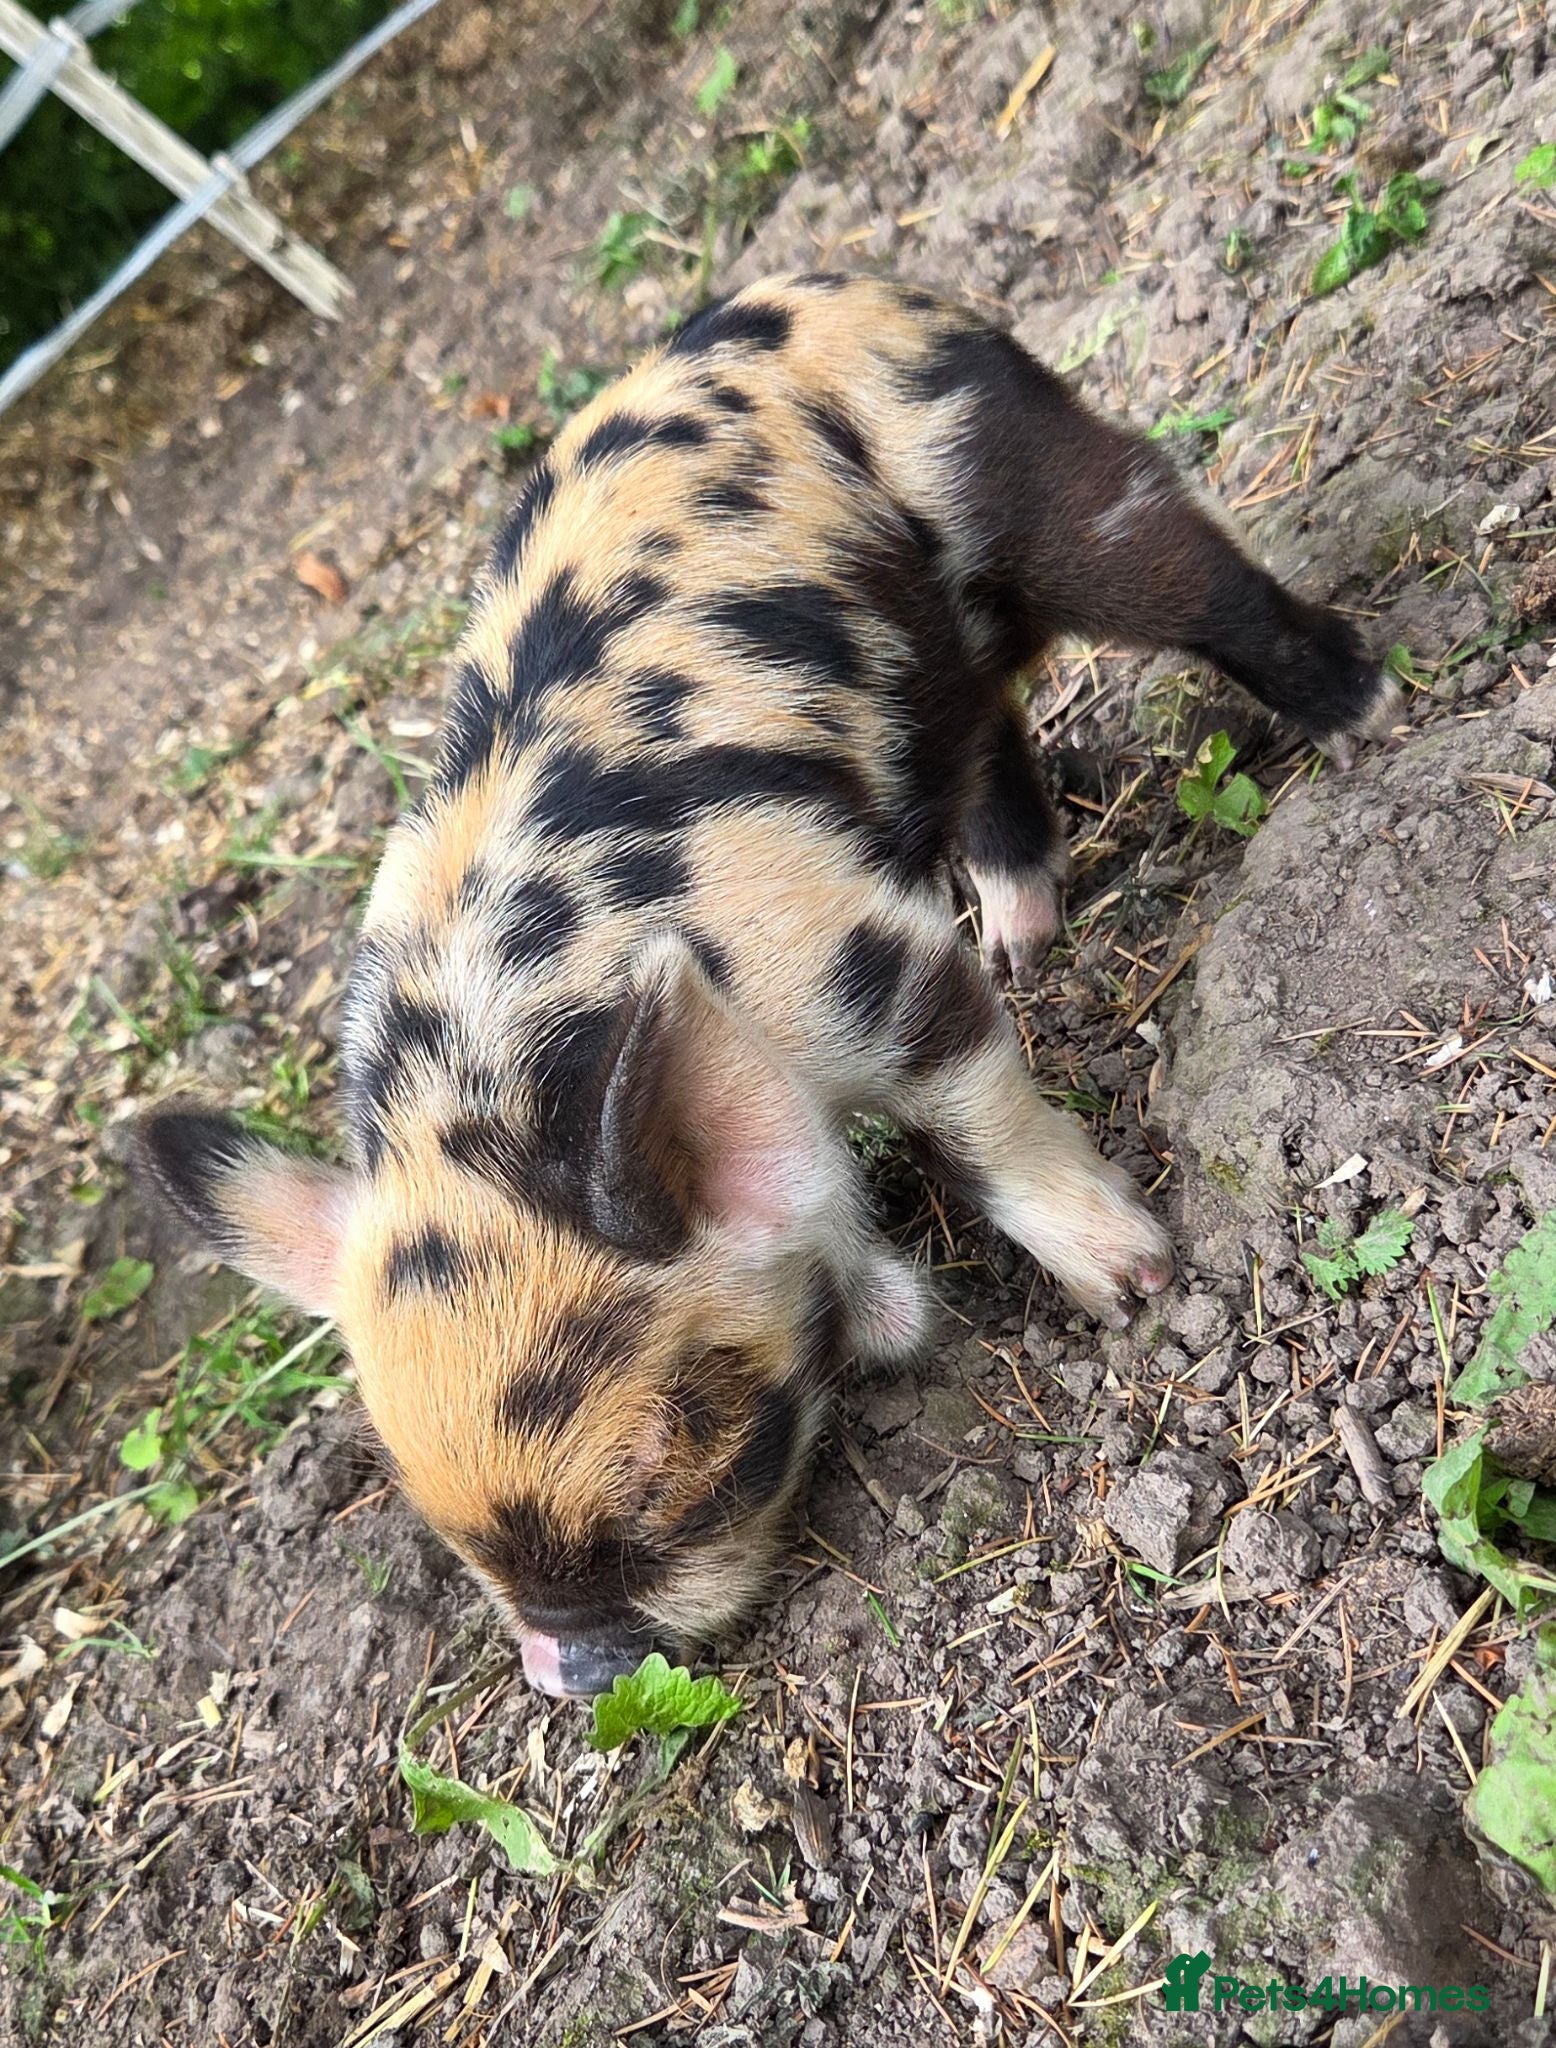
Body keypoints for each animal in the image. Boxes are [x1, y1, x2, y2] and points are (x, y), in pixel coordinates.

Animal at [139, 274, 1399, 1696]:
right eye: (460, 1545)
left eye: (667, 1488)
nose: (572, 1673)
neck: (491, 1093)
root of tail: (813, 289)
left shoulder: (856, 953)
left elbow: (984, 1110)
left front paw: (1128, 1285)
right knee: (988, 732)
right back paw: (1023, 937)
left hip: (1032, 479)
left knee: (1176, 567)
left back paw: (1368, 717)